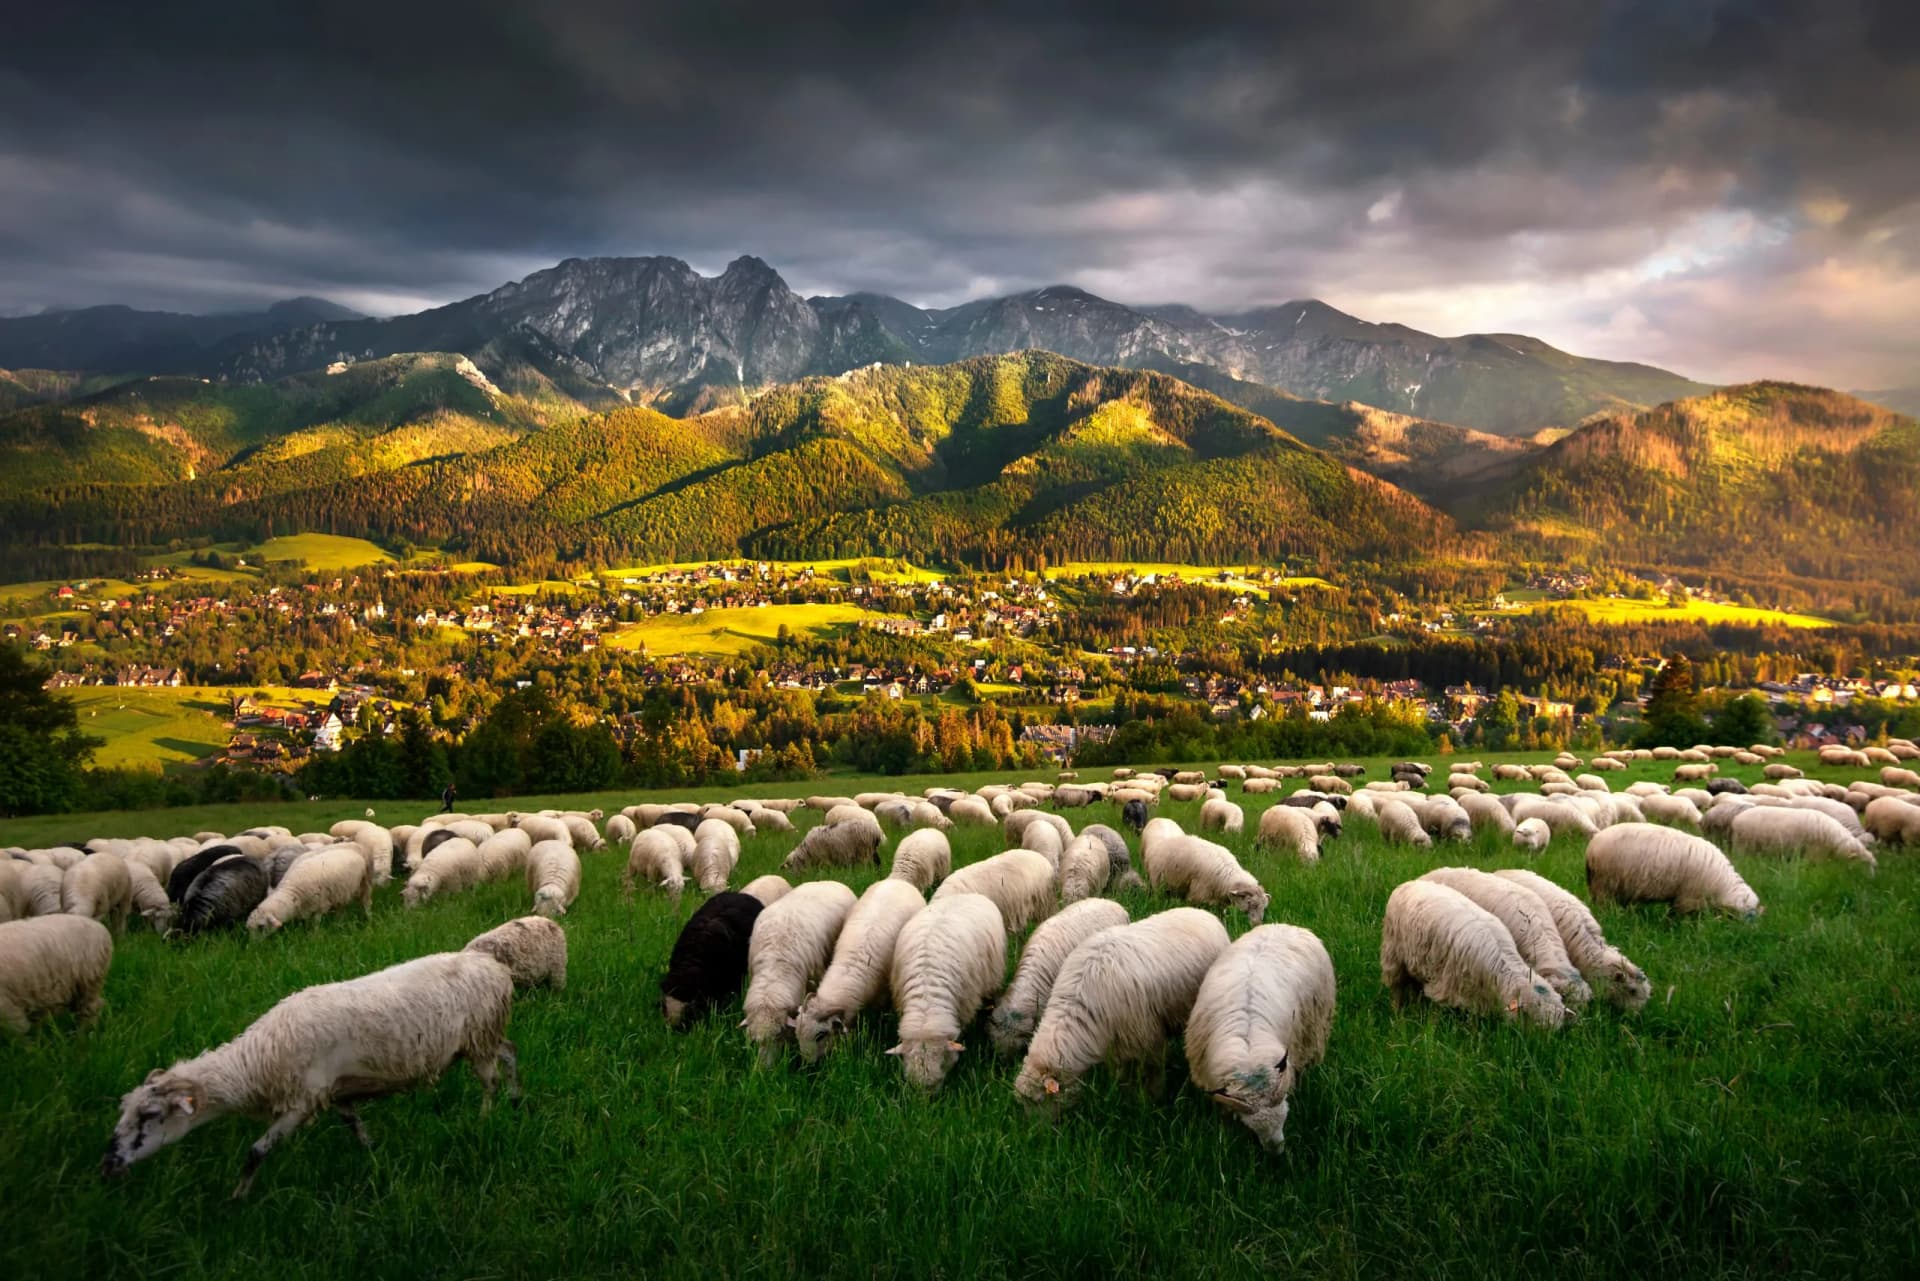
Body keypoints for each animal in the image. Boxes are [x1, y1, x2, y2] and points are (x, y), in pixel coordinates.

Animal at [103, 951, 516, 1197]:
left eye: (150, 1116)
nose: (107, 1164)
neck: (258, 1059)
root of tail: (494, 966)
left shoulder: (302, 1101)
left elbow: (256, 1152)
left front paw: (238, 1197)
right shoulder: (337, 1093)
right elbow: (355, 1127)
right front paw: (372, 1155)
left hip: (480, 1037)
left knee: (490, 1081)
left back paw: (484, 1120)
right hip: (484, 1037)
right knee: (510, 1054)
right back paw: (517, 1098)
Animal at [792, 880, 926, 1062]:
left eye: (820, 1035)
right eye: (797, 1034)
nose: (807, 1065)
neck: (851, 967)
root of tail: (898, 880)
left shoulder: (882, 992)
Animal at [1185, 924, 1336, 1151]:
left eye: (1285, 1118)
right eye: (1251, 1127)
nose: (1276, 1152)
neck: (1248, 1054)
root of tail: (1286, 925)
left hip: (1315, 1025)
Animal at [1379, 881, 1569, 1028]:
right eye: (1531, 1019)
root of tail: (1410, 883)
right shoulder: (1447, 987)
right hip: (1393, 954)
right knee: (1396, 987)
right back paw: (1397, 1011)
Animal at [1586, 824, 1761, 918]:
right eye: (1749, 916)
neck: (1722, 884)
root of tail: (1592, 846)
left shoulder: (1681, 895)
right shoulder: (1689, 898)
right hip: (1605, 885)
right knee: (1603, 905)